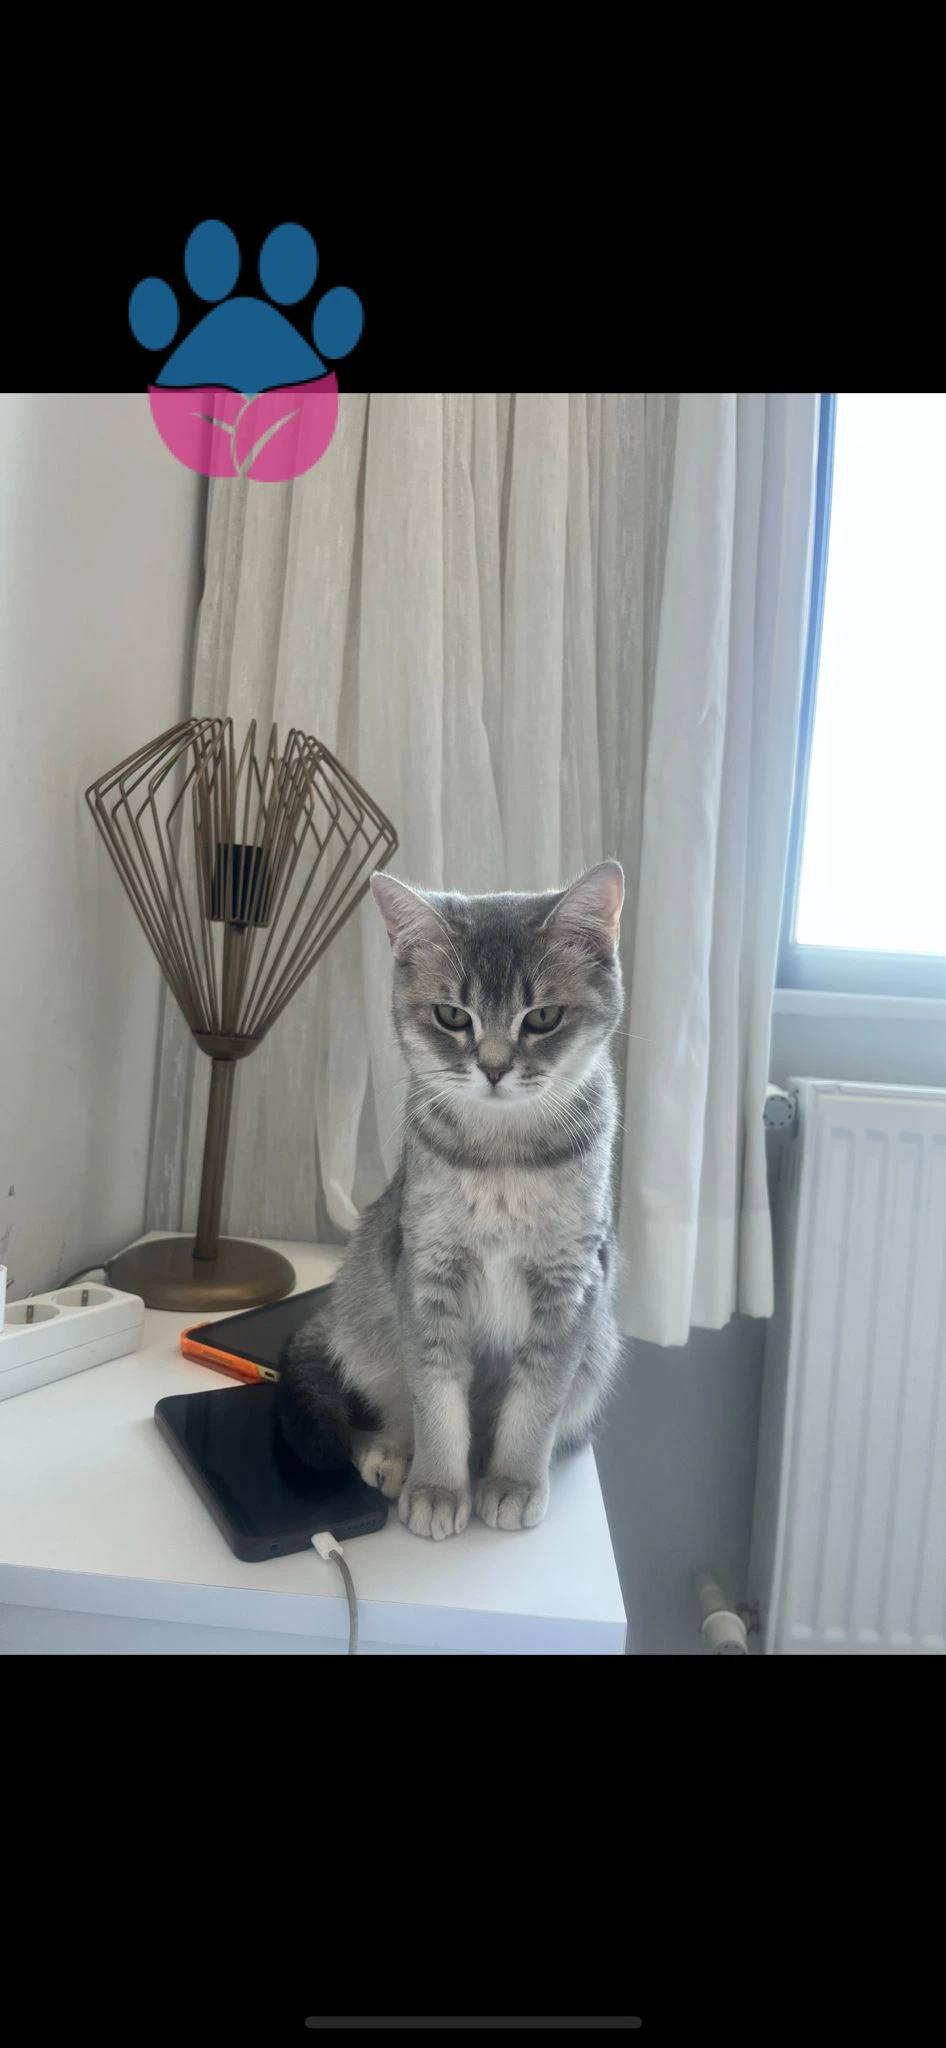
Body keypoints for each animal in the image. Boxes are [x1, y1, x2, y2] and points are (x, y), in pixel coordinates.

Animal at [276, 860, 627, 1540]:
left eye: (543, 1017)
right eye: (450, 1015)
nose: (492, 1068)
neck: (502, 1158)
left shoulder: (570, 1284)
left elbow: (535, 1404)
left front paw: (513, 1482)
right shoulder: (427, 1273)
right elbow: (435, 1399)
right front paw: (438, 1487)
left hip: (598, 1353)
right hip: (366, 1309)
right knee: (397, 1397)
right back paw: (393, 1453)